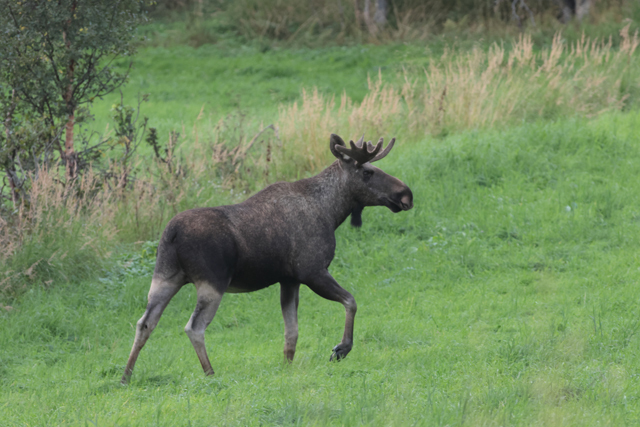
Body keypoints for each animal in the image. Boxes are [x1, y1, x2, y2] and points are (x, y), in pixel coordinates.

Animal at [120, 134, 416, 384]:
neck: (332, 212)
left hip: (165, 277)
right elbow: (351, 301)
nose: (406, 194)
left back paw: (126, 376)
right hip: (212, 282)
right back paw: (210, 373)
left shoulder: (289, 279)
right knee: (194, 327)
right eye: (368, 172)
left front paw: (287, 366)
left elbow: (291, 332)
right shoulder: (312, 271)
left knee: (144, 323)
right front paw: (341, 348)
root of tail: (172, 233)